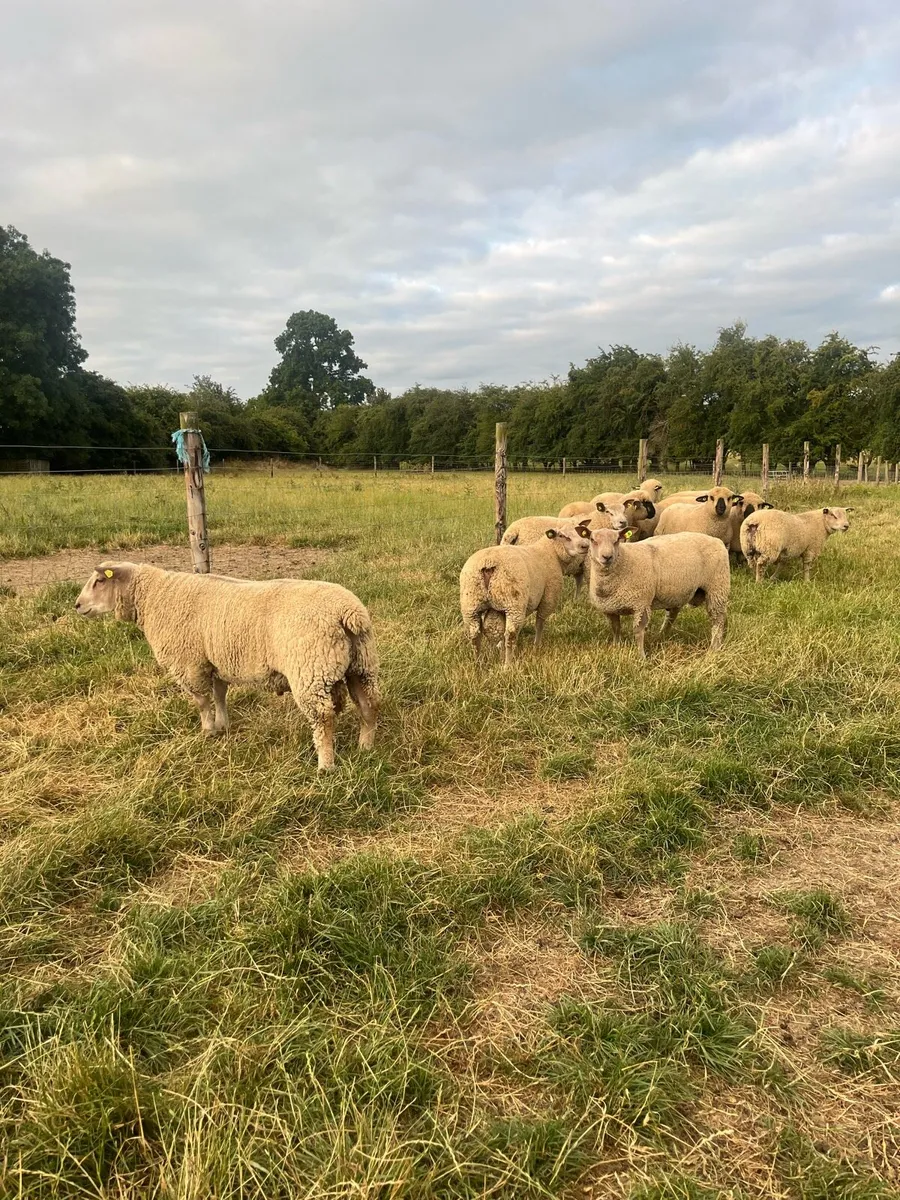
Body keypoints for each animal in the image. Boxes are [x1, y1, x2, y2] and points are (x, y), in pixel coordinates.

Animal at [74, 562, 379, 771]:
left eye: (99, 581)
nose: (77, 605)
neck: (152, 597)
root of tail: (348, 612)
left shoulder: (190, 664)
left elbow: (202, 702)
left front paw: (208, 731)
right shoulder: (217, 662)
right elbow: (220, 695)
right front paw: (223, 725)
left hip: (311, 671)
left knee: (323, 719)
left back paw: (326, 765)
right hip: (361, 666)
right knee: (369, 706)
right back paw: (365, 748)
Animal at [460, 525, 590, 665]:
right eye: (562, 536)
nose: (585, 546)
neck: (550, 552)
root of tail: (488, 562)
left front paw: (500, 649)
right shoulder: (548, 598)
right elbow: (539, 623)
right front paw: (537, 645)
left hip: (471, 605)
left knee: (474, 635)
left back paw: (478, 663)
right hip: (514, 603)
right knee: (510, 635)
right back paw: (508, 664)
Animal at [586, 528, 730, 656]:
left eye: (617, 540)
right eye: (592, 540)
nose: (607, 557)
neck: (624, 560)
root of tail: (717, 540)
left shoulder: (641, 604)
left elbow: (638, 632)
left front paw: (640, 657)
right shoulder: (610, 609)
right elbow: (615, 629)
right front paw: (617, 648)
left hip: (717, 588)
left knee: (718, 620)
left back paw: (713, 649)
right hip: (677, 591)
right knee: (672, 615)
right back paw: (662, 635)